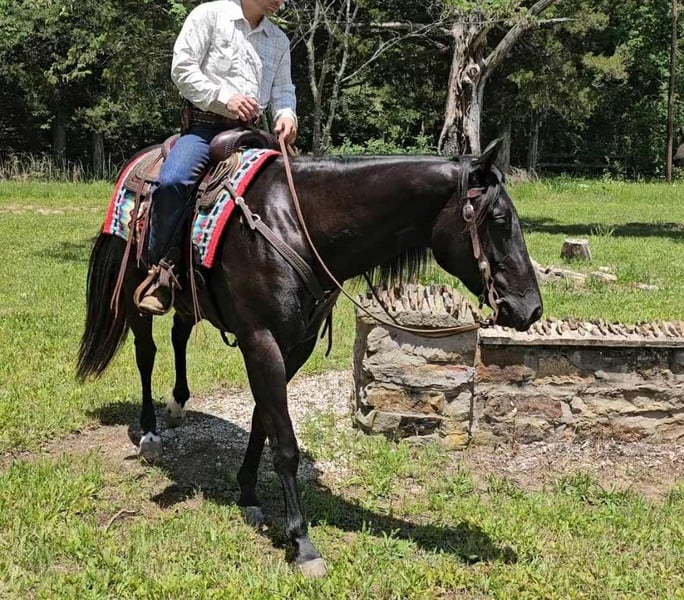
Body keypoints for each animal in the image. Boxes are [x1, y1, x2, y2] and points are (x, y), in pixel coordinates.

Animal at [77, 137, 542, 577]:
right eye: (499, 220)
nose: (532, 309)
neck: (298, 225)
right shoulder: (261, 340)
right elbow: (284, 441)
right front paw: (301, 542)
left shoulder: (296, 344)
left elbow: (263, 420)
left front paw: (248, 493)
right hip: (134, 293)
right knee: (146, 353)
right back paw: (150, 434)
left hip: (189, 301)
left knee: (178, 335)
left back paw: (177, 406)